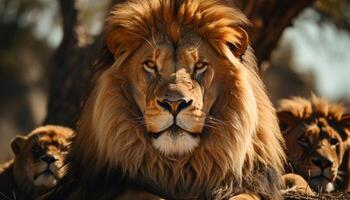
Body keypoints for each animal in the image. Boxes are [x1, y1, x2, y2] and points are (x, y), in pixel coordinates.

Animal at [45, 0, 286, 200]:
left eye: (200, 66)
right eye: (150, 65)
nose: (174, 104)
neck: (178, 169)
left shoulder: (255, 185)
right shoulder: (112, 186)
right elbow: (145, 195)